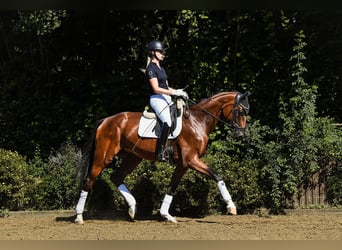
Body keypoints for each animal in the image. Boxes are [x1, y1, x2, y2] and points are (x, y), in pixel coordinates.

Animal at [75, 91, 251, 224]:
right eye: (240, 111)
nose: (241, 135)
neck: (197, 121)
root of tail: (105, 120)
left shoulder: (183, 164)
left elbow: (172, 187)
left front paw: (166, 215)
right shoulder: (191, 160)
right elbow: (217, 175)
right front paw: (231, 207)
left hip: (133, 157)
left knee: (116, 177)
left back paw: (132, 208)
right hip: (103, 157)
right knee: (88, 181)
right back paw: (79, 217)